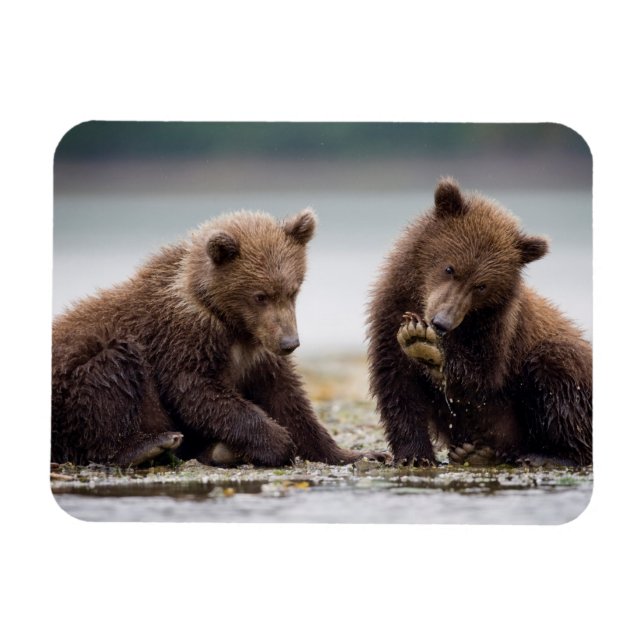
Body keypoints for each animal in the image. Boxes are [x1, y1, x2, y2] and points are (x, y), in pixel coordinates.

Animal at [52, 208, 383, 468]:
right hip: (73, 378)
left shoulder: (258, 351)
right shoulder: (183, 337)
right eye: (260, 296)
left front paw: (359, 453)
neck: (232, 324)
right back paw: (147, 446)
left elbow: (288, 399)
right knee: (111, 371)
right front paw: (278, 441)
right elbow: (198, 390)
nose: (289, 343)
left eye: (293, 290)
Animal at [366, 178, 592, 467]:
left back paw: (549, 455)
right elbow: (397, 384)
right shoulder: (390, 310)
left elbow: (480, 379)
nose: (442, 322)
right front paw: (414, 455)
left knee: (558, 370)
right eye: (449, 268)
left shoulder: (498, 328)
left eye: (482, 286)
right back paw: (474, 452)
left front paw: (427, 348)